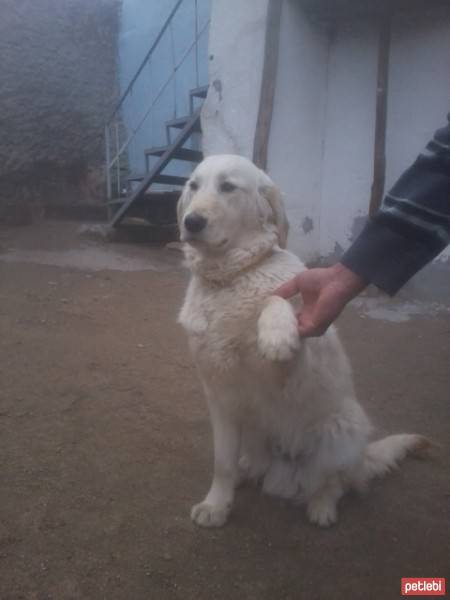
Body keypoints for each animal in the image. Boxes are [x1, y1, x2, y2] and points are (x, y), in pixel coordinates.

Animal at [178, 152, 428, 528]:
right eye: (194, 185)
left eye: (228, 187)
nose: (191, 221)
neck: (231, 279)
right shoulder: (220, 395)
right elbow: (221, 462)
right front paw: (217, 504)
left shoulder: (289, 376)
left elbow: (275, 298)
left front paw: (277, 333)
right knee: (253, 463)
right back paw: (247, 471)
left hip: (342, 429)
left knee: (335, 481)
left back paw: (322, 506)